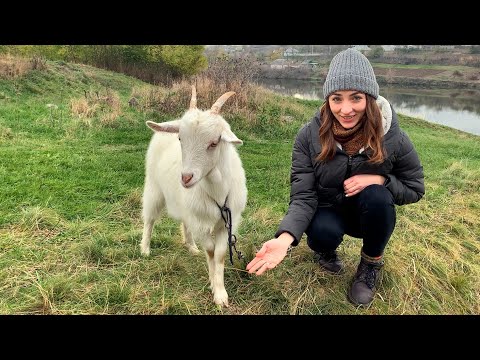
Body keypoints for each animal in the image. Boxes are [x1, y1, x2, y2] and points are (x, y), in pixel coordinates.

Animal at [140, 85, 248, 306]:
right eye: (180, 139)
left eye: (214, 142)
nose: (186, 177)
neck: (216, 192)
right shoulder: (201, 224)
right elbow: (211, 251)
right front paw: (214, 286)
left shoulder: (228, 221)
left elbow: (220, 254)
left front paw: (221, 293)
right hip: (154, 188)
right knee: (149, 219)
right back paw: (145, 248)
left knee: (184, 222)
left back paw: (191, 246)